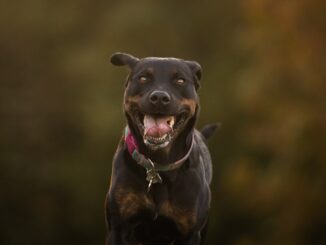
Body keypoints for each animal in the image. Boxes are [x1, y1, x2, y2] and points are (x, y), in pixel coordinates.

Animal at [105, 52, 216, 244]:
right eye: (143, 78)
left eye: (180, 80)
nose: (159, 97)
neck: (158, 164)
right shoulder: (118, 228)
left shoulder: (191, 233)